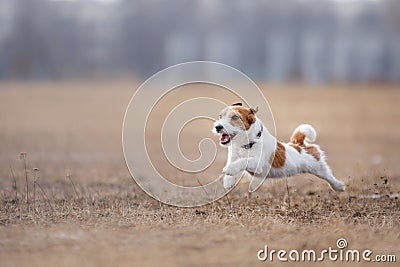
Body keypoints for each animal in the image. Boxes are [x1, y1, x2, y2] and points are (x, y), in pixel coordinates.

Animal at [212, 102, 346, 193]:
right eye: (220, 116)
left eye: (235, 117)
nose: (217, 127)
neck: (247, 144)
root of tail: (299, 145)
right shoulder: (233, 156)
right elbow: (233, 162)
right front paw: (228, 181)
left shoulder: (257, 164)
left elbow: (243, 161)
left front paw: (230, 169)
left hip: (318, 168)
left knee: (329, 177)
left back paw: (339, 186)